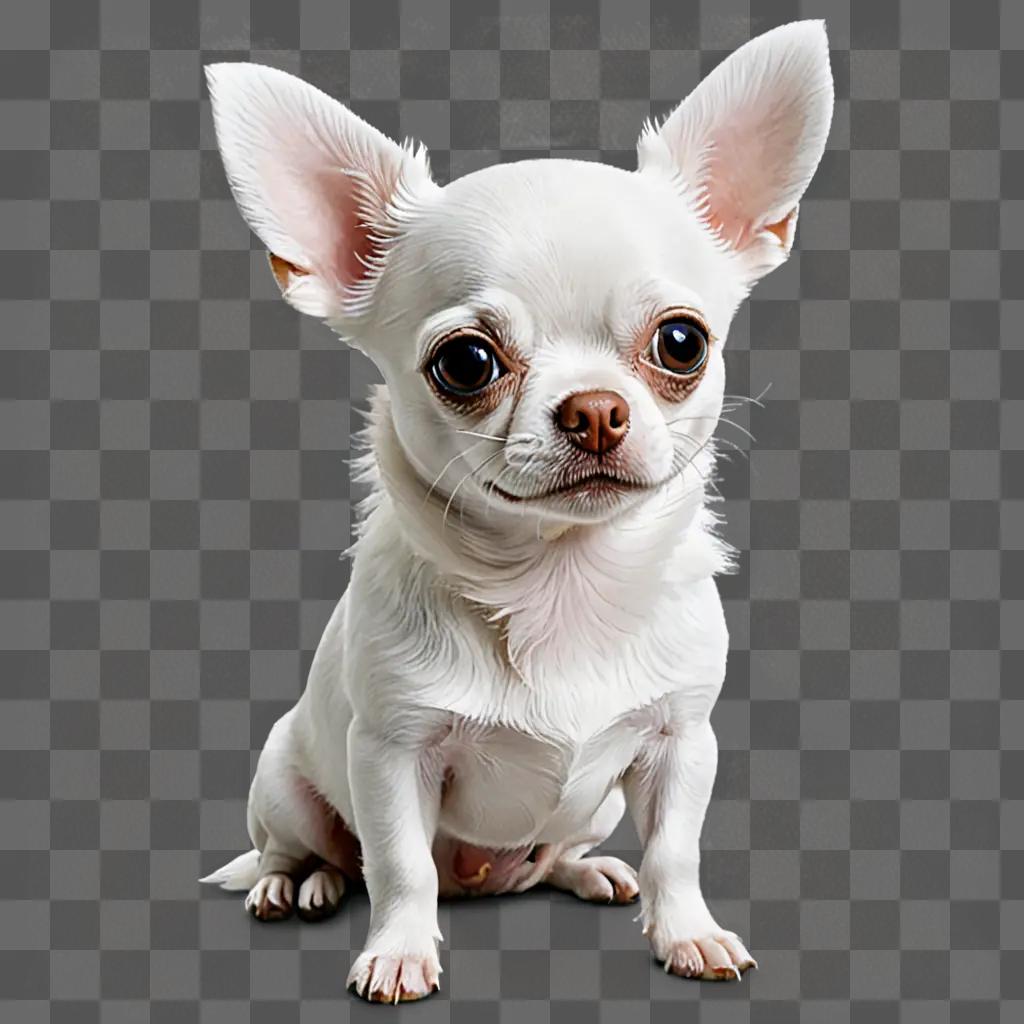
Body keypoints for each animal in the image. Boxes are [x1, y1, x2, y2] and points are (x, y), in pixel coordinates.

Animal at [197, 22, 831, 999]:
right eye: (466, 362)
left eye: (681, 342)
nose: (595, 410)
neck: (560, 581)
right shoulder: (391, 754)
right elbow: (399, 864)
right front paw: (398, 950)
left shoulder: (682, 740)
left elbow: (675, 852)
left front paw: (688, 932)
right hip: (287, 780)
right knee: (309, 848)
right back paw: (295, 885)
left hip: (589, 808)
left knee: (555, 853)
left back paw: (587, 870)